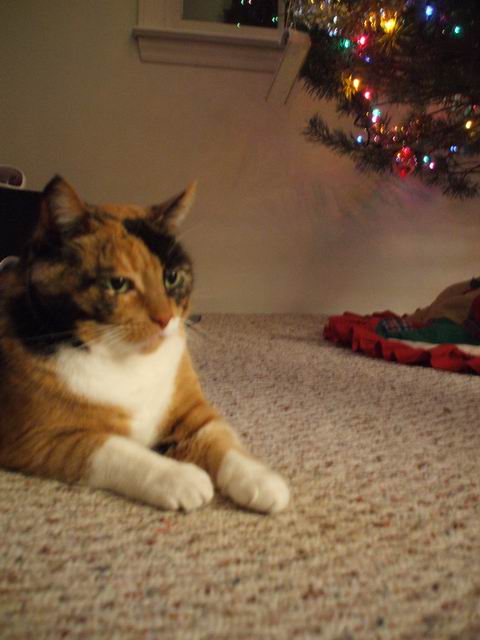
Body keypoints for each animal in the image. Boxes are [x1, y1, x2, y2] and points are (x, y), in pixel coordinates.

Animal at [0, 176, 290, 514]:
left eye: (172, 276)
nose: (165, 318)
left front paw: (261, 480)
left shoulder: (191, 410)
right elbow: (117, 450)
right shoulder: (36, 438)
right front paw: (182, 478)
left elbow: (221, 438)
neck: (129, 361)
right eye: (118, 283)